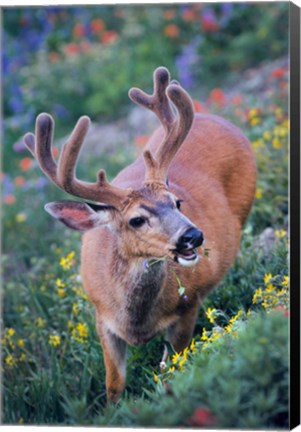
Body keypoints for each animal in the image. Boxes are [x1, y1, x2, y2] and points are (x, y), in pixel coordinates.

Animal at [23, 66, 255, 402]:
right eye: (136, 220)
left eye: (177, 202)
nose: (193, 235)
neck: (137, 323)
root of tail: (217, 118)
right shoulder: (101, 317)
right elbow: (114, 383)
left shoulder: (189, 306)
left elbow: (171, 366)